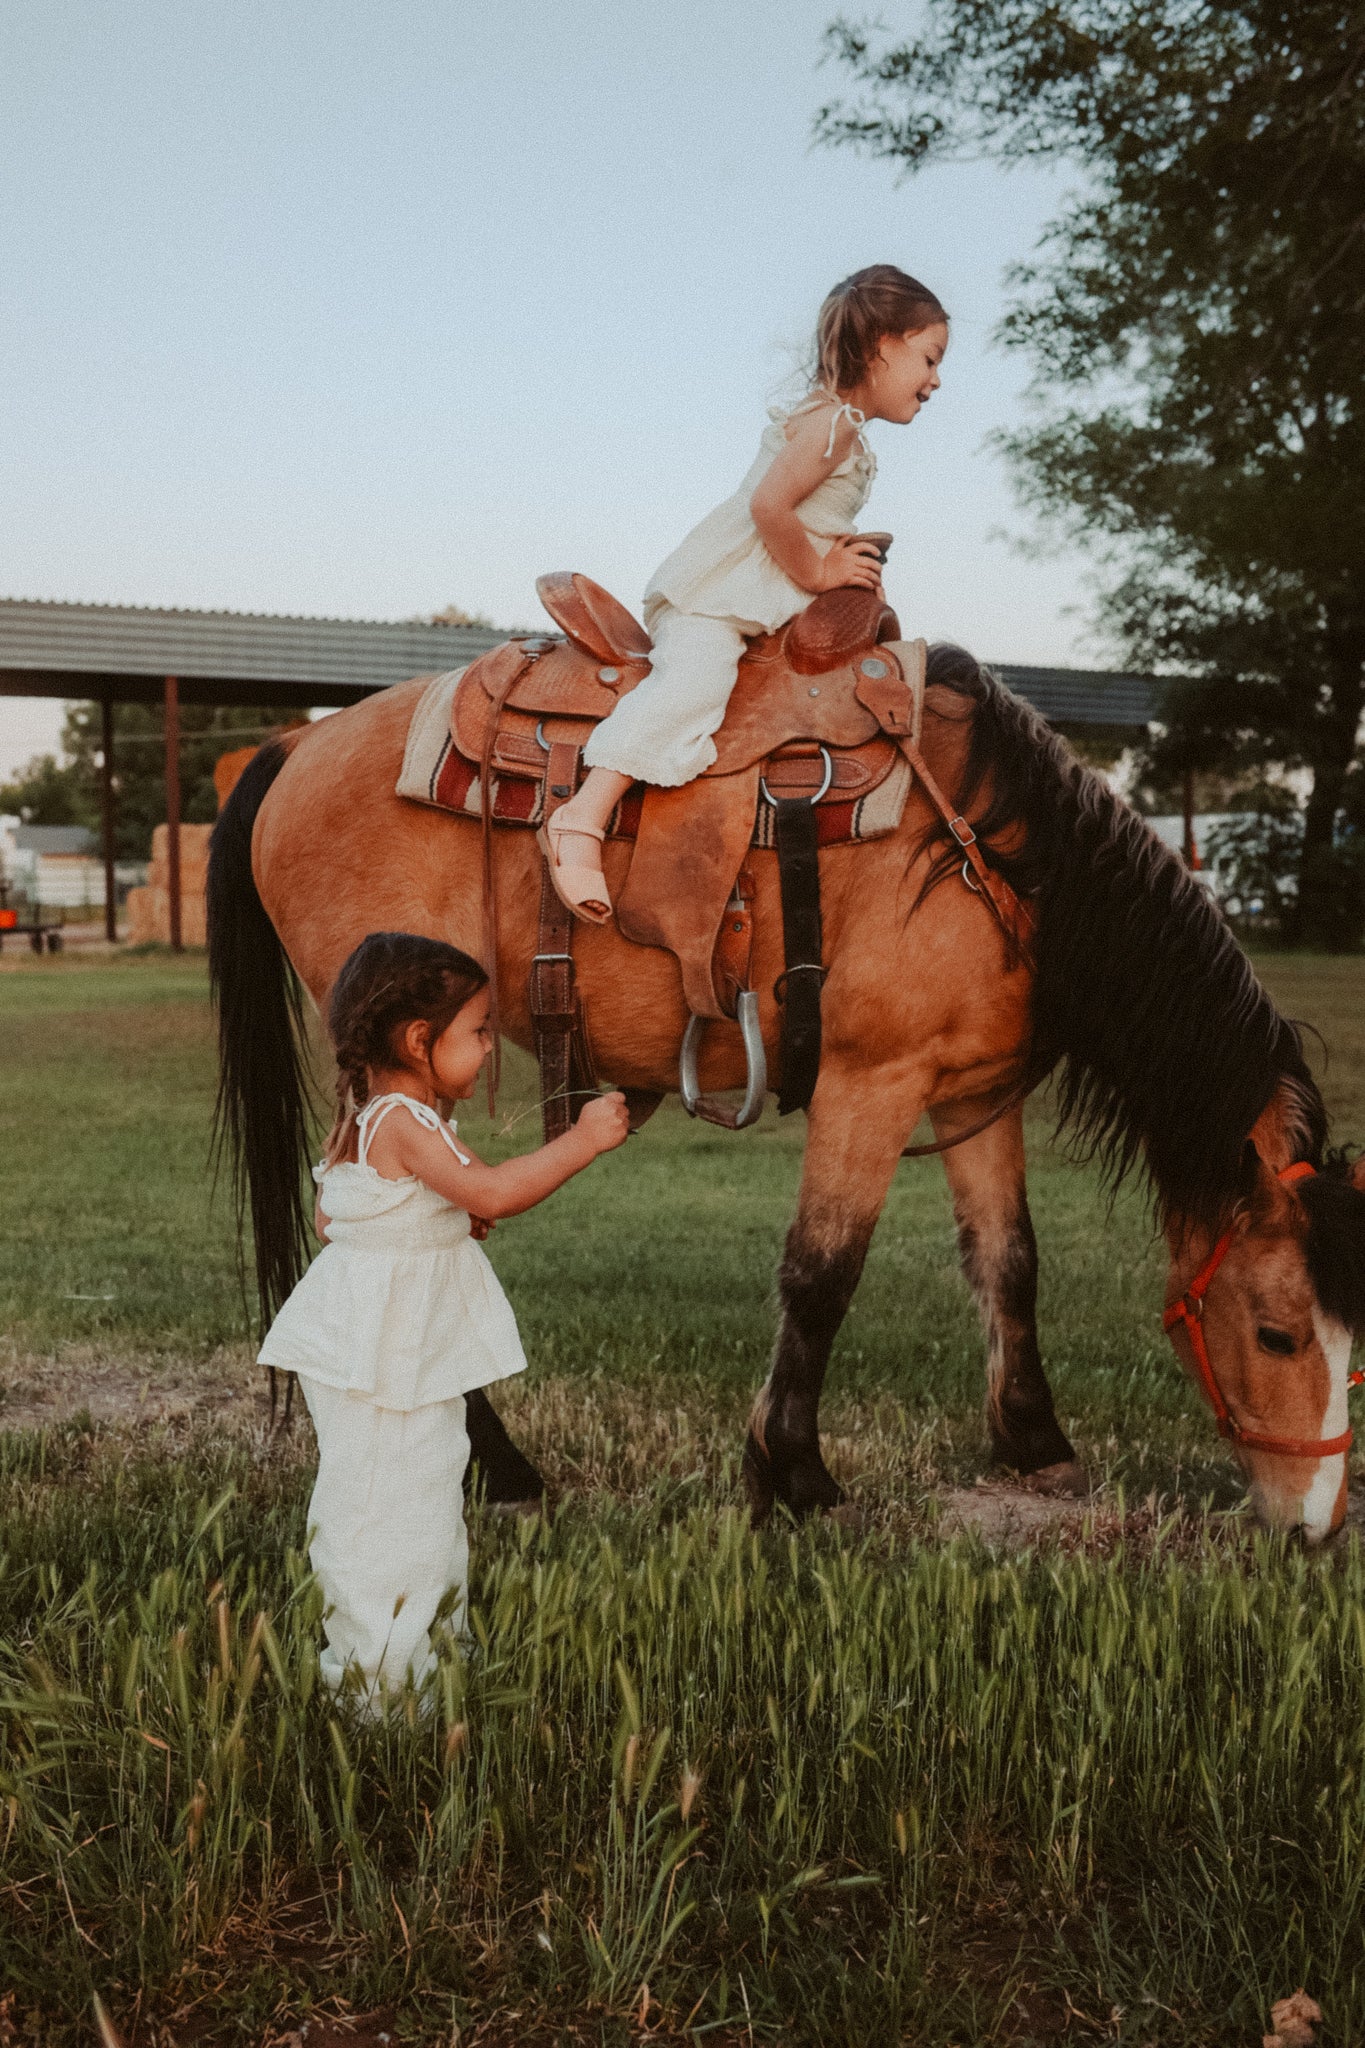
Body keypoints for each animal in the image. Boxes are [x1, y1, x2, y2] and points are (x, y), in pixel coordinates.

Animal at [208, 638, 1365, 1540]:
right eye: (1276, 1332)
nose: (1315, 1527)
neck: (995, 855)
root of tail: (299, 745)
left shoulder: (969, 1092)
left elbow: (1008, 1262)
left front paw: (1034, 1439)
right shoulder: (872, 1080)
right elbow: (821, 1273)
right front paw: (793, 1472)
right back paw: (501, 1469)